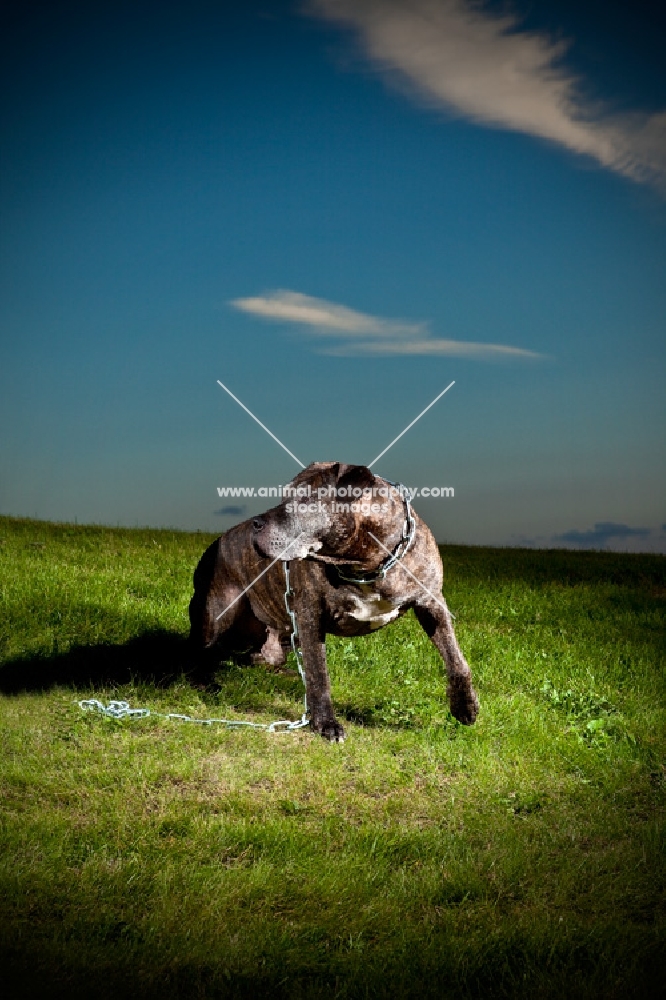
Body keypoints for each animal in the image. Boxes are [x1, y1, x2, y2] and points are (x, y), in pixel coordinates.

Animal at [188, 462, 478, 744]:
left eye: (305, 499)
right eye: (283, 496)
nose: (256, 523)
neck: (366, 564)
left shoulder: (432, 602)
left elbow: (456, 659)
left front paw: (465, 706)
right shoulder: (310, 615)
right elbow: (319, 674)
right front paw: (325, 723)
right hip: (217, 613)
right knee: (198, 650)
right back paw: (203, 681)